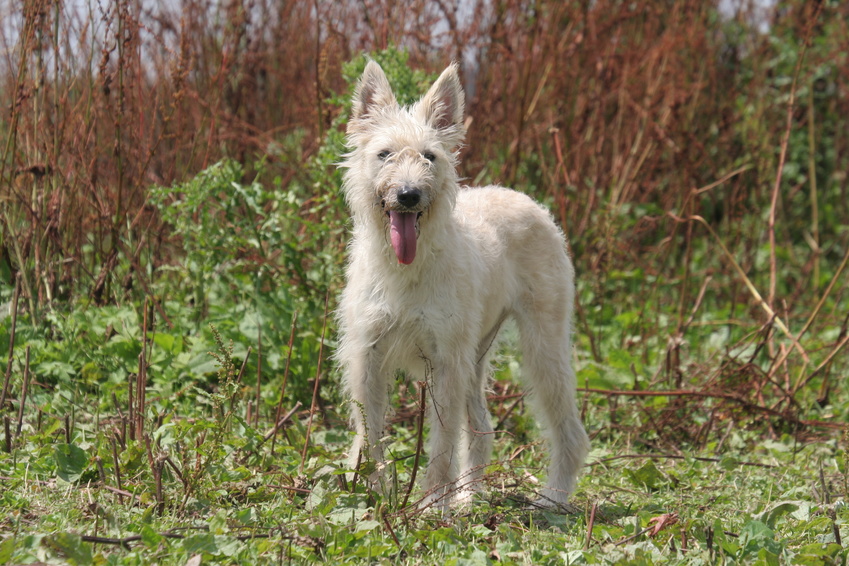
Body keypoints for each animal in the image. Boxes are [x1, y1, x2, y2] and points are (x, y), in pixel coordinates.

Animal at [334, 61, 588, 510]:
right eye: (384, 154)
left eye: (429, 156)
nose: (408, 195)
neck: (408, 268)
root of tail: (528, 201)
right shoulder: (368, 358)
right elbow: (371, 433)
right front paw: (369, 492)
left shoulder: (447, 363)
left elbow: (442, 443)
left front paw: (432, 505)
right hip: (477, 356)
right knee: (483, 427)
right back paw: (470, 496)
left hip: (544, 348)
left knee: (569, 431)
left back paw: (553, 498)